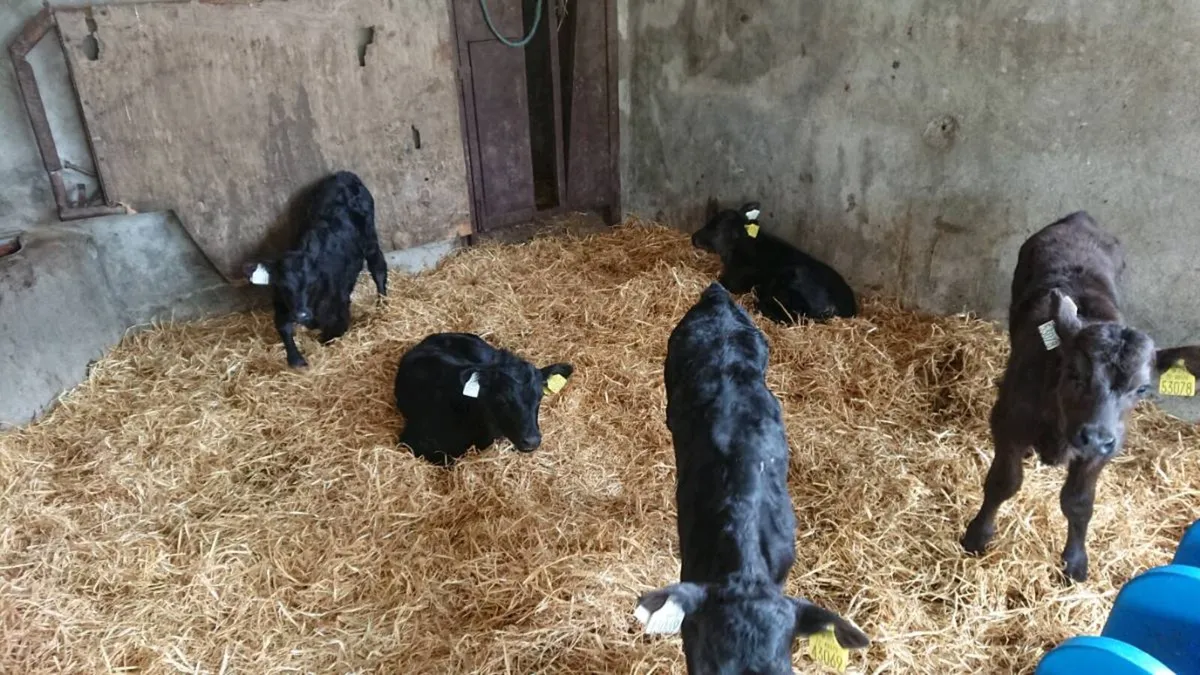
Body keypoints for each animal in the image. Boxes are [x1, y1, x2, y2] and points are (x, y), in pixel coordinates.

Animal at [245, 171, 388, 368]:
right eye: (282, 285)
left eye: (311, 283)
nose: (301, 314)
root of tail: (343, 175)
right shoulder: (281, 303)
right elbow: (283, 327)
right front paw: (296, 359)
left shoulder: (339, 309)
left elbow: (331, 333)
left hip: (370, 237)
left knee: (378, 267)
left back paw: (383, 303)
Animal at [961, 211, 1200, 582]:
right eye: (1076, 373)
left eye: (1142, 389)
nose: (1095, 436)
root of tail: (1080, 218)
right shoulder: (1008, 422)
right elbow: (1004, 482)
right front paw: (977, 535)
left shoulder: (1104, 450)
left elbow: (1078, 502)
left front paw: (1075, 561)